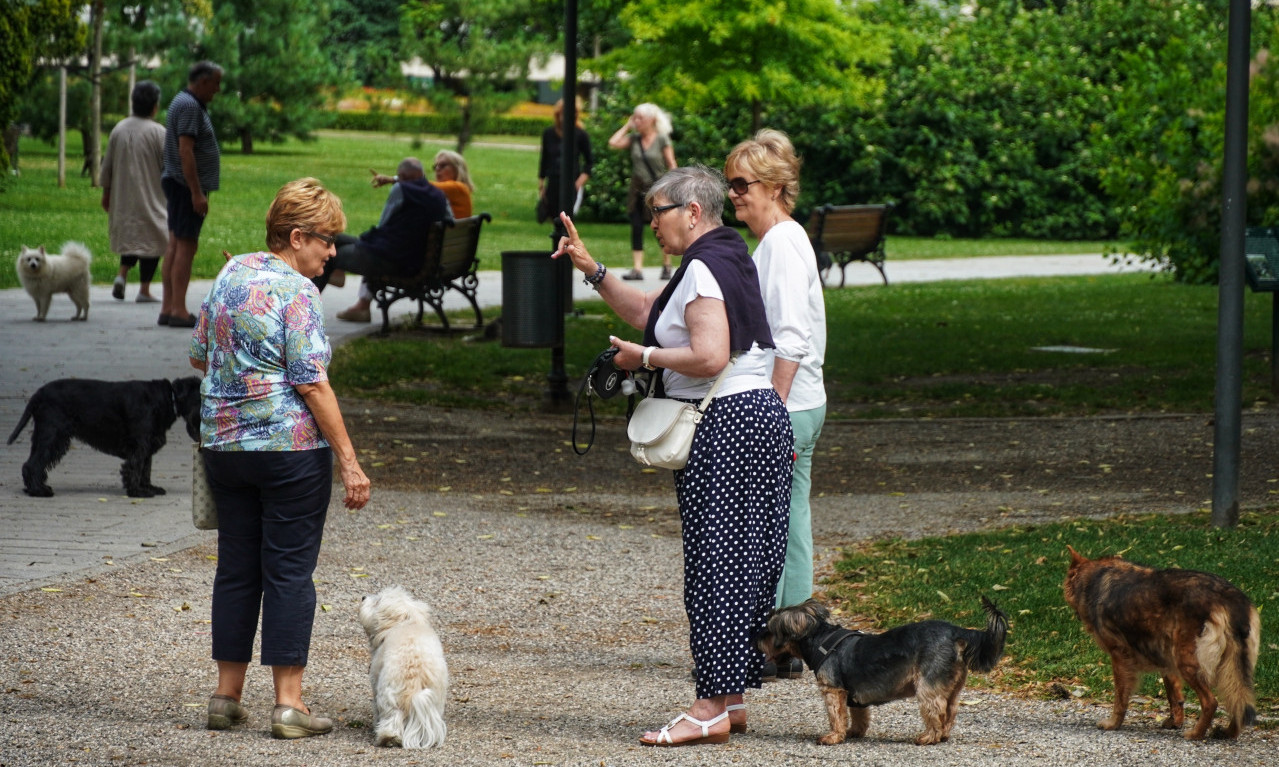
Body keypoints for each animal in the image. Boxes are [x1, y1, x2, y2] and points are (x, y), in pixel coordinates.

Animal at [6, 375, 202, 498]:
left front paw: (149, 488)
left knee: (34, 463)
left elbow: (146, 470)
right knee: (33, 464)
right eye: (200, 397)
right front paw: (138, 492)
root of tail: (39, 393)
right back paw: (38, 491)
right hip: (53, 435)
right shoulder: (139, 445)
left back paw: (36, 488)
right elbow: (136, 467)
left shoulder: (147, 446)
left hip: (46, 436)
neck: (168, 398)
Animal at [360, 585, 450, 746]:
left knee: (392, 717)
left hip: (388, 694)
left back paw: (388, 737)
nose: (363, 597)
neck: (407, 622)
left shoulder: (375, 679)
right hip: (436, 697)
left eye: (377, 601)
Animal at [746, 595, 1007, 746]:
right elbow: (859, 716)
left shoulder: (833, 691)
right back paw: (942, 735)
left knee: (935, 710)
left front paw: (833, 737)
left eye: (768, 631)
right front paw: (854, 732)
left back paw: (928, 737)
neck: (819, 639)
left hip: (927, 686)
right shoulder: (854, 697)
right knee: (950, 711)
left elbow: (835, 716)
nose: (755, 638)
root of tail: (956, 632)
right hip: (953, 686)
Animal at [1059, 544, 1258, 736]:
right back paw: (1228, 733)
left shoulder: (1119, 656)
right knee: (1239, 702)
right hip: (1230, 667)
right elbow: (1174, 695)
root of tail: (1228, 597)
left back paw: (1196, 734)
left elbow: (1121, 698)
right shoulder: (1165, 659)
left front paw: (1113, 724)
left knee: (1212, 702)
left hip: (1187, 662)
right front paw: (1175, 722)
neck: (1094, 578)